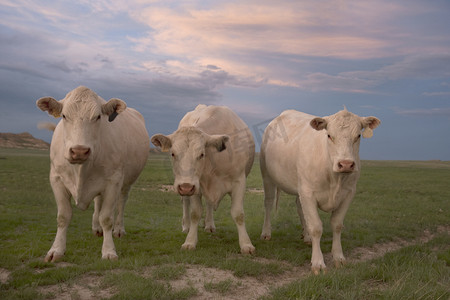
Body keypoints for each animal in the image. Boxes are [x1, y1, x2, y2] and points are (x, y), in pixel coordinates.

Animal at [36, 86, 149, 260]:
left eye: (98, 117)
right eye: (64, 116)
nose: (79, 151)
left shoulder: (114, 181)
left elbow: (107, 217)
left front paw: (108, 250)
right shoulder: (56, 179)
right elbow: (63, 216)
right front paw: (56, 250)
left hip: (127, 182)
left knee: (121, 202)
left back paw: (119, 229)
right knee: (98, 201)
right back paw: (96, 227)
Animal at [152, 104, 255, 254]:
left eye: (201, 154)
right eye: (172, 153)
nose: (185, 187)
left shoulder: (239, 181)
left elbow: (238, 214)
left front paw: (246, 244)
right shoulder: (196, 186)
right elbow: (195, 213)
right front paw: (190, 241)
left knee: (209, 204)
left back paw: (209, 225)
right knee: (186, 203)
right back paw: (186, 226)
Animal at [260, 109, 380, 274]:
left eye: (358, 136)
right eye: (329, 135)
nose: (346, 164)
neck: (335, 178)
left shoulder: (349, 193)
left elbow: (337, 225)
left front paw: (339, 257)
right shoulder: (308, 193)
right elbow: (316, 227)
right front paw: (318, 263)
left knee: (300, 208)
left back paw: (307, 237)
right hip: (267, 175)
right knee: (268, 203)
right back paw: (266, 233)